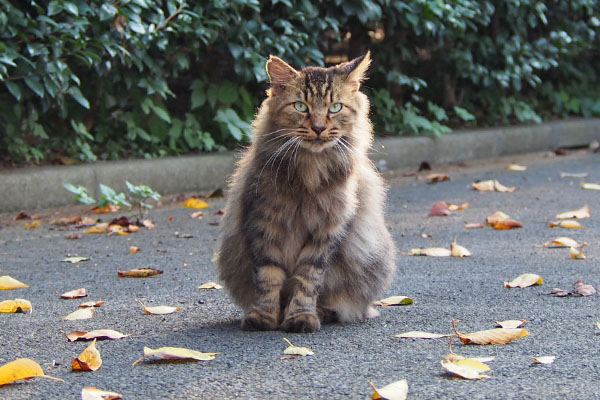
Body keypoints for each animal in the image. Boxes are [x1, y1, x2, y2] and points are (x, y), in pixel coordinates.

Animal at [213, 51, 396, 332]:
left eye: (335, 108)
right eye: (300, 106)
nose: (319, 127)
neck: (309, 170)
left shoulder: (327, 231)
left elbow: (307, 280)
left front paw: (300, 316)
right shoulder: (263, 224)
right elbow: (268, 277)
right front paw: (264, 316)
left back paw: (323, 312)